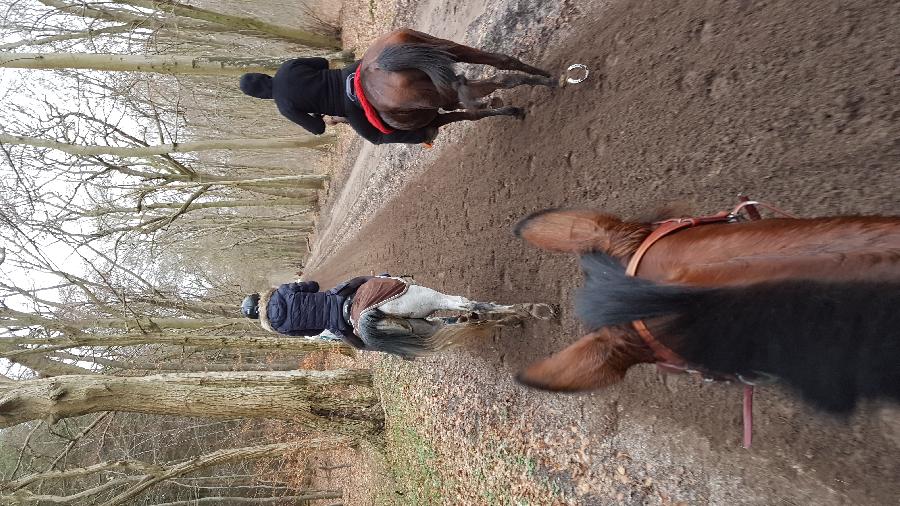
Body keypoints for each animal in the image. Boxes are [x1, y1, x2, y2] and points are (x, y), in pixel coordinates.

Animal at [354, 27, 556, 132]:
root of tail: (377, 65)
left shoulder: (435, 119)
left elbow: (473, 114)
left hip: (437, 86)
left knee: (497, 80)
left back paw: (548, 82)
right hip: (449, 49)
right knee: (502, 64)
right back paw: (548, 77)